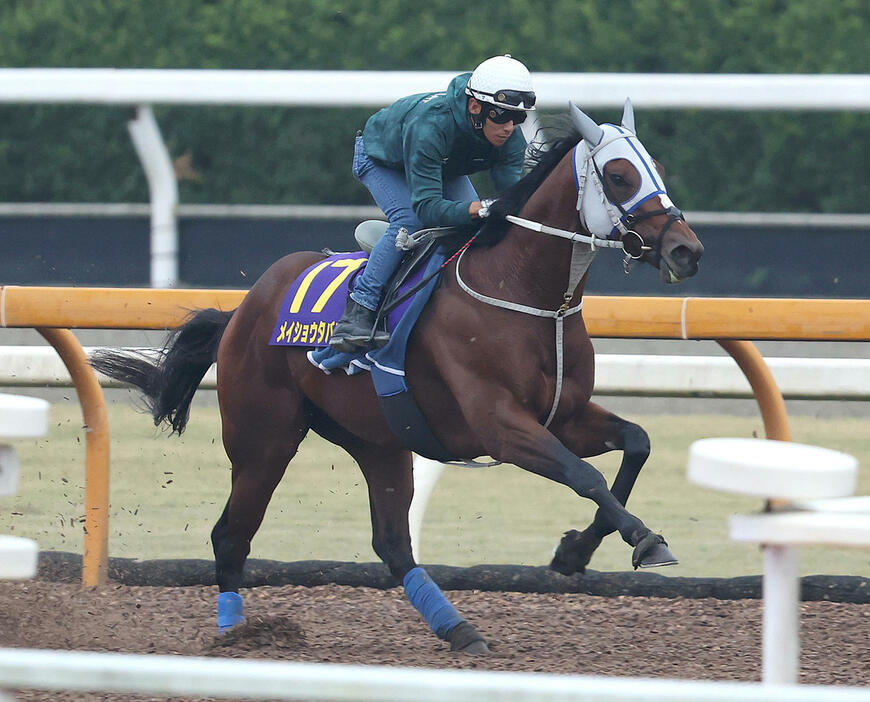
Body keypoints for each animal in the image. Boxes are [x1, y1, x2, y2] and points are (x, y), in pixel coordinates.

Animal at [92, 102, 704, 656]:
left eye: (658, 170)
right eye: (620, 176)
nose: (687, 250)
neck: (524, 293)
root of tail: (242, 309)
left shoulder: (566, 414)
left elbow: (636, 444)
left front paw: (576, 551)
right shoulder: (502, 426)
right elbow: (585, 476)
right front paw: (645, 540)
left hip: (380, 440)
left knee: (391, 543)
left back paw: (458, 629)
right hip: (264, 439)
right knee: (231, 533)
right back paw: (235, 635)